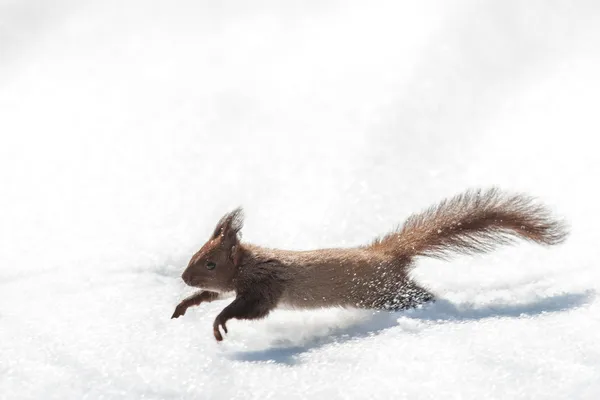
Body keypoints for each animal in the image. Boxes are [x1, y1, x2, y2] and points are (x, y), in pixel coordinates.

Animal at [170, 188, 568, 340]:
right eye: (195, 257)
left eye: (209, 263)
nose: (185, 277)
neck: (251, 262)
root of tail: (387, 255)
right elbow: (214, 296)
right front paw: (184, 305)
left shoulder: (267, 284)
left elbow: (248, 309)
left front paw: (219, 323)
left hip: (387, 291)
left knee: (420, 296)